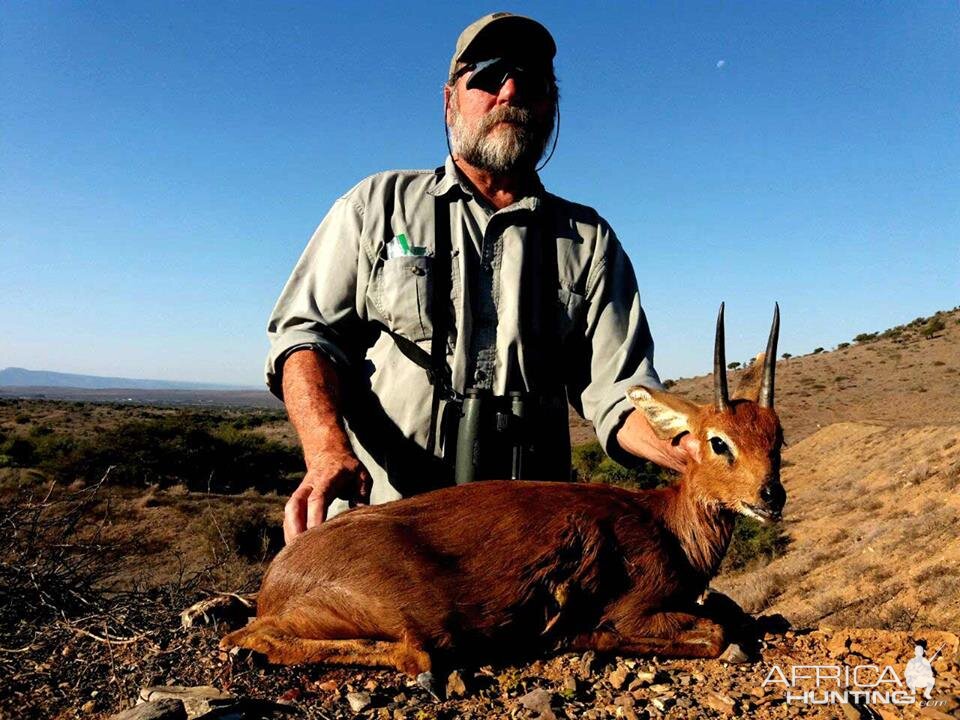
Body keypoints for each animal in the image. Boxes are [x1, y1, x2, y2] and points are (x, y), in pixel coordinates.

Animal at [221, 304, 784, 676]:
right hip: (403, 618)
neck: (668, 527)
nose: (770, 497)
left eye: (776, 438)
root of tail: (277, 578)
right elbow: (716, 630)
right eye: (718, 442)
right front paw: (586, 634)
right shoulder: (638, 607)